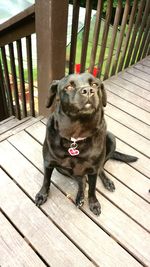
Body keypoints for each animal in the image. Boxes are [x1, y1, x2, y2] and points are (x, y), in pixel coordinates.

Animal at [34, 73, 137, 216]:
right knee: (81, 180)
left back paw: (107, 182)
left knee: (100, 169)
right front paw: (42, 195)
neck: (76, 138)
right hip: (63, 169)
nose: (88, 90)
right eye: (69, 86)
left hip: (111, 139)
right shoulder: (49, 163)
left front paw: (94, 203)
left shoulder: (93, 170)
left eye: (94, 84)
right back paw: (80, 197)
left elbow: (92, 189)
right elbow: (46, 181)